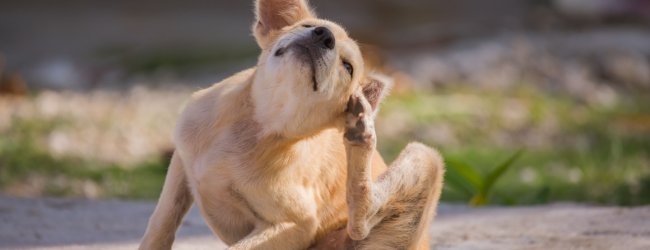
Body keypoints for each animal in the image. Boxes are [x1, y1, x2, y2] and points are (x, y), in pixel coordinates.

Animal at [136, 0, 440, 249]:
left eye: (348, 67)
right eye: (309, 26)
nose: (324, 35)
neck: (260, 123)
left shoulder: (293, 226)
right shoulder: (181, 161)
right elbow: (161, 222)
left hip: (426, 157)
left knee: (360, 223)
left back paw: (361, 134)